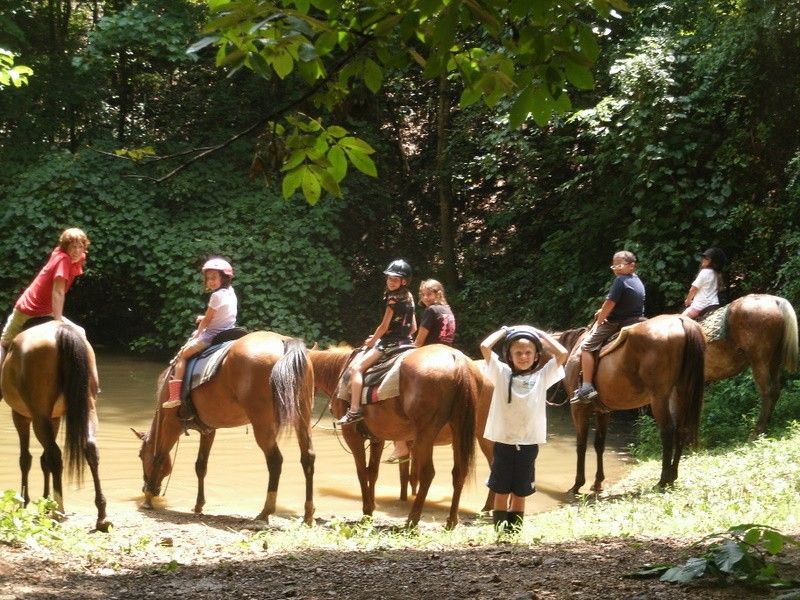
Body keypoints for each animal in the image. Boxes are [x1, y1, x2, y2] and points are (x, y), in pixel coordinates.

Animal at [0, 322, 109, 532]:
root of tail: (60, 330)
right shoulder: (54, 418)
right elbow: (43, 461)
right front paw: (44, 501)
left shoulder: (21, 416)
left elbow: (26, 459)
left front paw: (25, 501)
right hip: (88, 406)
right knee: (89, 449)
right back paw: (101, 515)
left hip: (38, 416)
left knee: (55, 455)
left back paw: (59, 509)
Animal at [134, 330, 316, 524]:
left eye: (140, 455)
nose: (144, 487)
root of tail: (285, 342)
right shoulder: (208, 430)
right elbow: (201, 466)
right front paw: (198, 505)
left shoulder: (171, 423)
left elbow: (159, 457)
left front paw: (147, 499)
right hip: (302, 417)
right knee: (308, 458)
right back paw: (308, 514)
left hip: (262, 424)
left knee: (275, 461)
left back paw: (266, 511)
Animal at [310, 344, 484, 528]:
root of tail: (457, 360)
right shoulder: (377, 438)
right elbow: (372, 472)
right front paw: (370, 509)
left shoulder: (353, 436)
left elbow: (361, 472)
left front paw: (366, 511)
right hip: (458, 433)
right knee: (459, 472)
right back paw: (451, 521)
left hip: (425, 435)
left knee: (427, 473)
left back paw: (412, 519)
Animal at [560, 314, 704, 492]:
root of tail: (680, 321)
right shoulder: (603, 411)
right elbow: (599, 444)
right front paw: (598, 482)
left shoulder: (578, 409)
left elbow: (581, 445)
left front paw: (577, 485)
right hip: (681, 393)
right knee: (681, 430)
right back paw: (672, 477)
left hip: (659, 398)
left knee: (667, 431)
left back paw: (662, 481)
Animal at [708, 292, 800, 434]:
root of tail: (775, 300)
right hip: (773, 360)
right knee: (775, 389)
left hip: (759, 361)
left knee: (767, 391)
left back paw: (758, 429)